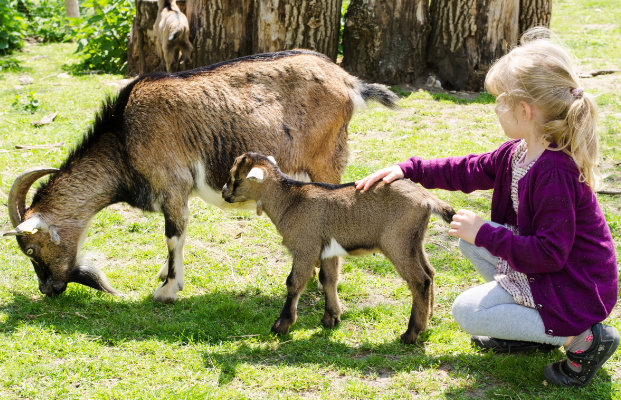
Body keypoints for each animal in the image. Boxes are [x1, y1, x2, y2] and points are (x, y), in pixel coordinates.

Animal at [3, 49, 398, 304]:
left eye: (32, 249)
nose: (49, 290)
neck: (125, 137)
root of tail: (349, 83)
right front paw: (164, 274)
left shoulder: (172, 185)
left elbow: (173, 233)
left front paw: (167, 289)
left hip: (325, 161)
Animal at [220, 152, 452, 342]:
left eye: (237, 178)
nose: (224, 193)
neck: (290, 200)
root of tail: (427, 199)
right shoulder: (328, 251)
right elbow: (328, 279)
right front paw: (331, 318)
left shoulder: (305, 247)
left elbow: (294, 282)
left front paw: (281, 326)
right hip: (414, 242)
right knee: (430, 272)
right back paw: (428, 318)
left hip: (397, 242)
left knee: (419, 280)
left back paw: (411, 333)